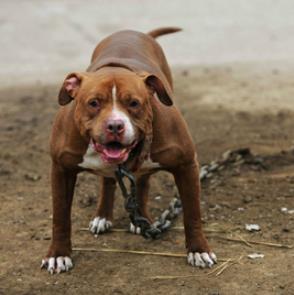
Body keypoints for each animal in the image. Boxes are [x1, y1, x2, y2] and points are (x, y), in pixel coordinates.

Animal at [40, 26, 216, 274]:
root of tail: (138, 32)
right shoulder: (61, 169)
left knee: (142, 181)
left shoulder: (187, 165)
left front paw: (198, 250)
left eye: (134, 103)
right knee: (108, 181)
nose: (115, 125)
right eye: (93, 103)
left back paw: (140, 217)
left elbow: (192, 214)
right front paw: (58, 255)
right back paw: (103, 216)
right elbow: (60, 217)